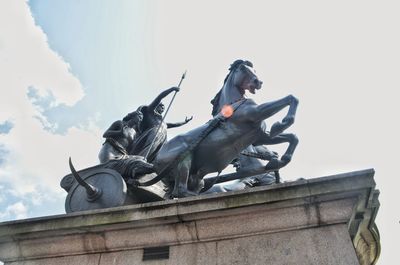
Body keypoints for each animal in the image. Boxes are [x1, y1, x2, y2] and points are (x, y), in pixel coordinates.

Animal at [148, 59, 298, 196]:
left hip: (195, 177)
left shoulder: (260, 136)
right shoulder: (256, 112)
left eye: (254, 70)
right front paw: (282, 123)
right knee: (181, 190)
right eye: (243, 68)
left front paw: (281, 159)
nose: (258, 82)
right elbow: (290, 98)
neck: (234, 104)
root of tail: (155, 161)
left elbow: (292, 137)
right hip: (184, 159)